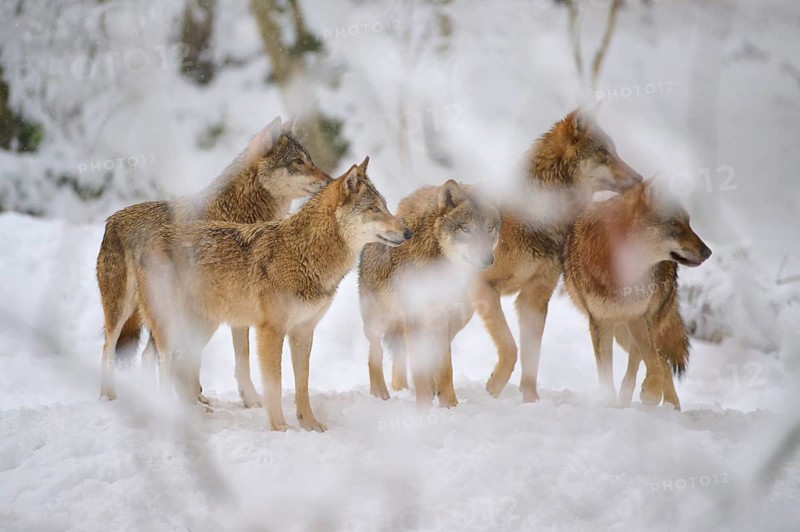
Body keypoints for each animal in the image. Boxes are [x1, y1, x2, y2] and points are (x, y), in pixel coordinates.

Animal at [97, 117, 331, 406]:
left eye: (310, 159)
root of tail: (111, 220)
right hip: (124, 311)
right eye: (298, 162)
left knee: (148, 355)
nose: (330, 180)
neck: (238, 213)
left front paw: (248, 399)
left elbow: (242, 356)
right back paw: (109, 397)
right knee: (109, 349)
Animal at [136, 158, 410, 431]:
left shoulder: (303, 332)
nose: (409, 233)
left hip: (202, 327)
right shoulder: (271, 331)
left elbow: (302, 385)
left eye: (385, 207)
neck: (304, 254)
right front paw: (280, 427)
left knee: (181, 367)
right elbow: (275, 385)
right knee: (163, 365)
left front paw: (310, 424)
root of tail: (148, 241)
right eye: (374, 209)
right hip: (173, 329)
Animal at [359, 180, 501, 408]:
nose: (487, 259)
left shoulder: (441, 320)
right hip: (379, 321)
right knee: (376, 352)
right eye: (466, 229)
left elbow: (445, 368)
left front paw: (449, 405)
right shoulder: (414, 318)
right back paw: (379, 393)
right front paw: (424, 408)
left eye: (489, 229)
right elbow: (419, 371)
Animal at [562, 180, 712, 409]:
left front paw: (649, 394)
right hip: (620, 332)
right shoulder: (599, 323)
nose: (708, 252)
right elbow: (606, 373)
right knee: (661, 361)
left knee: (656, 361)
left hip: (637, 325)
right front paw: (608, 402)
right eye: (675, 224)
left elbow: (651, 365)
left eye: (688, 223)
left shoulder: (639, 317)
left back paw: (666, 405)